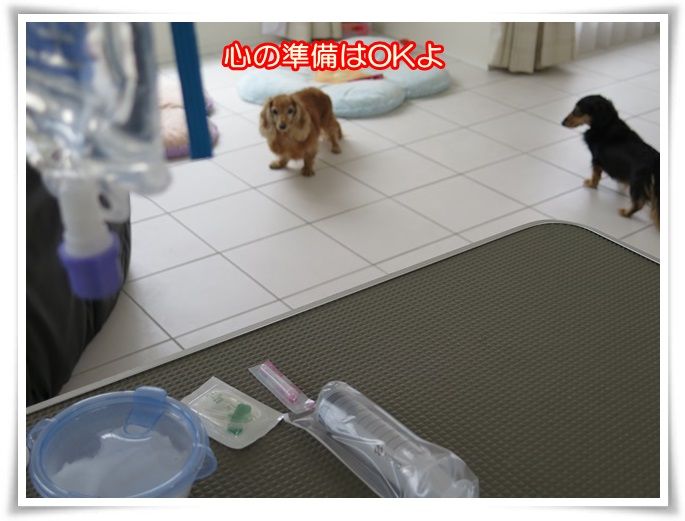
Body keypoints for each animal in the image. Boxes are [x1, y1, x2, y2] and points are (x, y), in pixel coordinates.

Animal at [562, 95, 660, 229]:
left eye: (577, 110)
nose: (562, 122)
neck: (606, 124)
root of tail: (655, 160)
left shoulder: (596, 159)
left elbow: (595, 175)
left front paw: (591, 184)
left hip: (636, 181)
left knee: (639, 202)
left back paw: (626, 213)